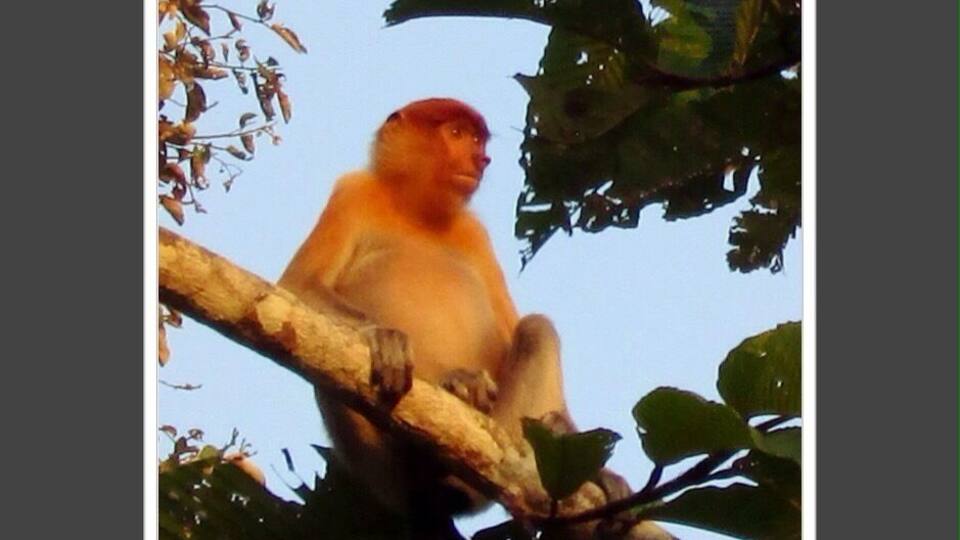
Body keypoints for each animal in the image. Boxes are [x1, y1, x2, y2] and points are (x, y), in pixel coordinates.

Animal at [278, 98, 628, 538]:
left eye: (478, 139)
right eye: (457, 134)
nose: (481, 159)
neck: (416, 211)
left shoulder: (475, 233)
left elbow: (509, 337)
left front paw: (596, 466)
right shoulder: (351, 193)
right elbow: (298, 288)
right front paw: (385, 339)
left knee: (536, 329)